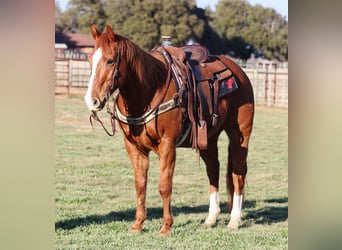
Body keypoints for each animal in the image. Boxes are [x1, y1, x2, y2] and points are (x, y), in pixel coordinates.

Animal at [84, 24, 252, 234]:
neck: (149, 90)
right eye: (90, 59)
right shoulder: (134, 147)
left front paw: (166, 226)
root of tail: (239, 71)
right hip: (208, 139)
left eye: (110, 60)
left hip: (240, 135)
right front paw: (138, 224)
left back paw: (234, 220)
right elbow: (140, 185)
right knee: (213, 170)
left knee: (238, 173)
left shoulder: (167, 144)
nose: (92, 100)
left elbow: (165, 186)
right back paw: (211, 218)